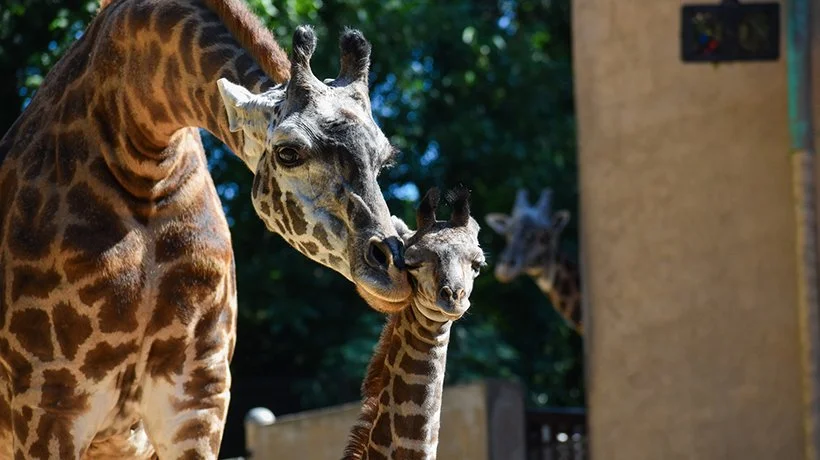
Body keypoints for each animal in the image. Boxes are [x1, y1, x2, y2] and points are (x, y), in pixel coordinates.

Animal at [0, 0, 413, 457]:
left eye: (384, 159)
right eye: (288, 152)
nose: (394, 270)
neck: (142, 156)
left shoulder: (199, 392)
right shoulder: (48, 397)